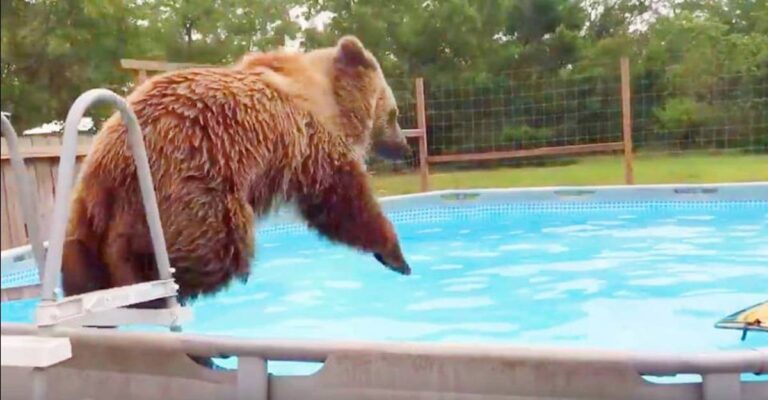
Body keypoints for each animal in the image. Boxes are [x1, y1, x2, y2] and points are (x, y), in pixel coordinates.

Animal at [61, 37, 414, 306]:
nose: (404, 147)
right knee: (213, 251)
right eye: (394, 113)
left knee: (81, 260)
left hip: (89, 210)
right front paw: (396, 256)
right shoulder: (313, 146)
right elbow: (344, 203)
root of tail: (110, 166)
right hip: (191, 185)